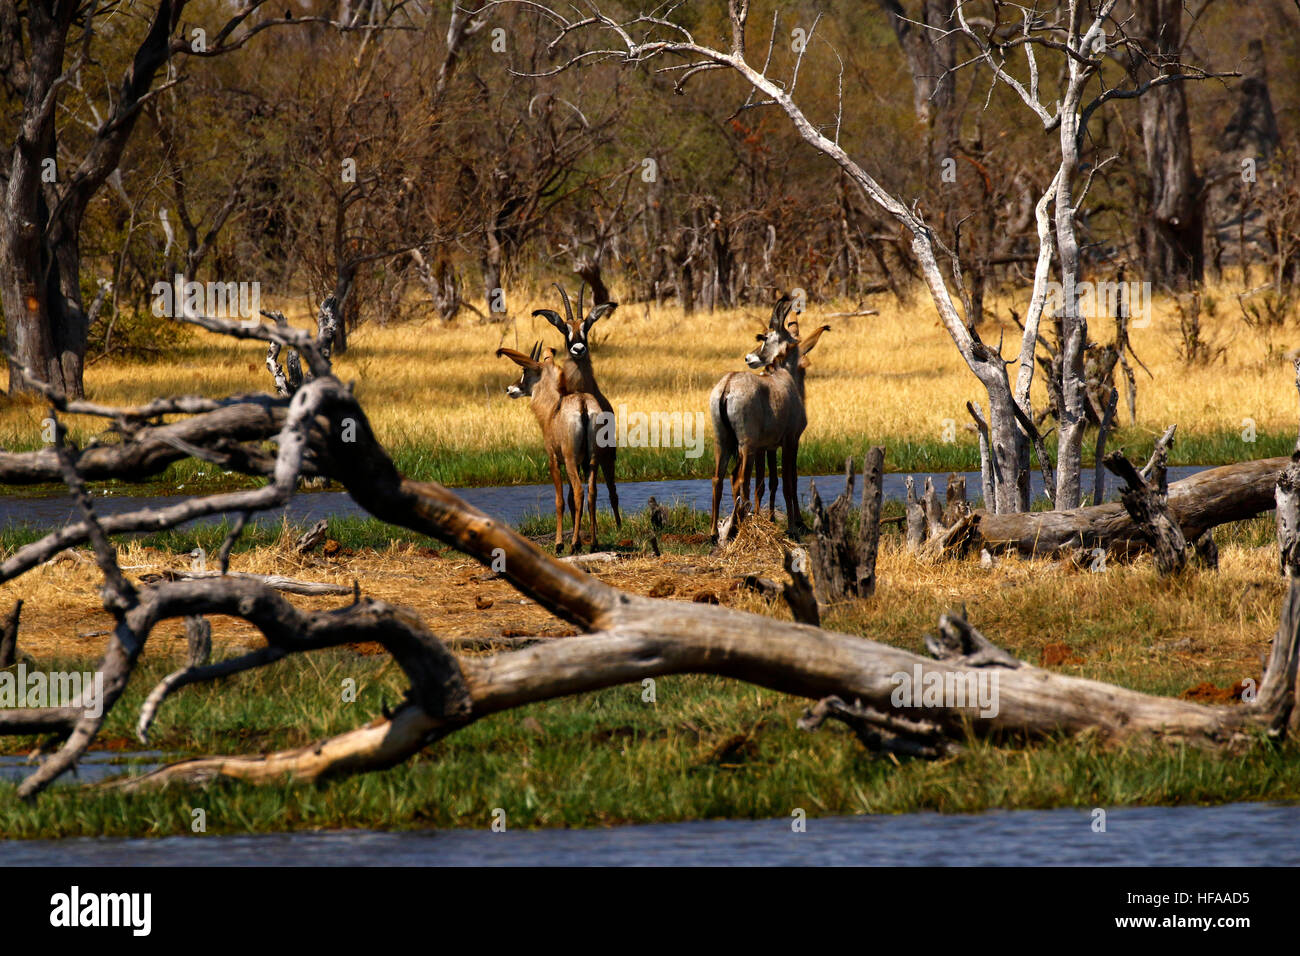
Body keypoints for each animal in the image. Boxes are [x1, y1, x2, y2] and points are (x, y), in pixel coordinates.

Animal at [496, 343, 603, 554]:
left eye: (525, 370)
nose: (509, 388)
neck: (553, 408)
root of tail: (583, 404)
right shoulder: (579, 463)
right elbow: (569, 500)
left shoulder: (554, 460)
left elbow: (560, 500)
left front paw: (560, 543)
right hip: (591, 461)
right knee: (591, 493)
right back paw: (593, 544)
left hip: (570, 460)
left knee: (579, 491)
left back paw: (572, 545)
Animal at [533, 283, 624, 530]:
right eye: (565, 328)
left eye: (587, 326)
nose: (578, 349)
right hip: (588, 458)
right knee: (588, 491)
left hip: (601, 456)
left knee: (608, 491)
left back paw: (616, 526)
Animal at [712, 295, 832, 541]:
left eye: (766, 337)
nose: (748, 357)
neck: (786, 376)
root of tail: (728, 384)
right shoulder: (790, 440)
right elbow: (789, 481)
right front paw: (794, 525)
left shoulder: (768, 446)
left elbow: (770, 481)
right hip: (746, 445)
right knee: (740, 479)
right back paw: (741, 524)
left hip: (723, 441)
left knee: (718, 479)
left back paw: (714, 532)